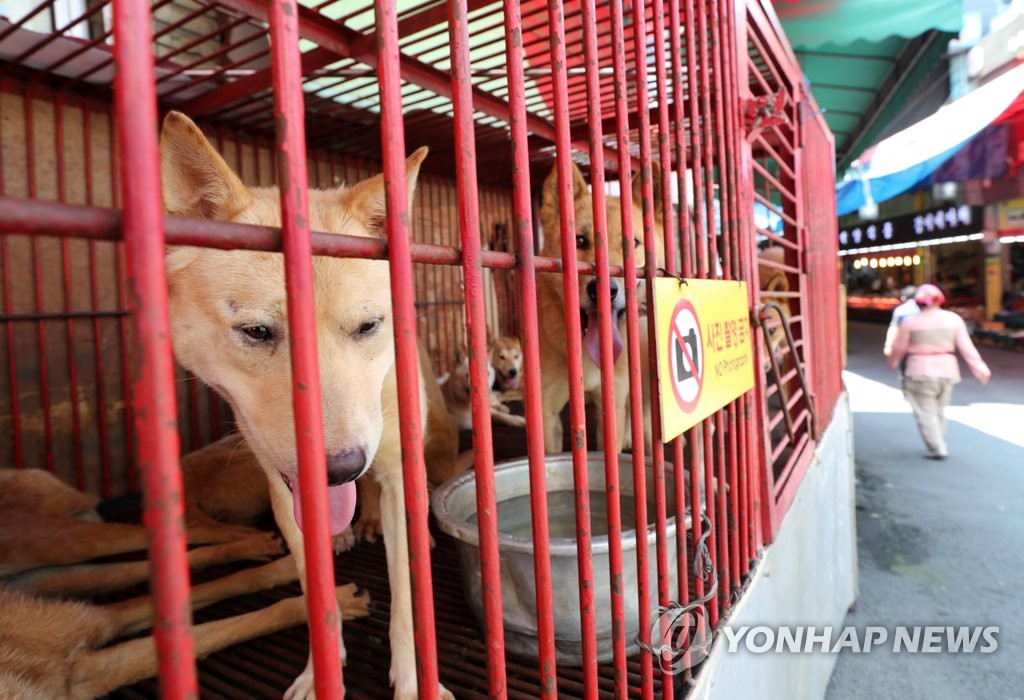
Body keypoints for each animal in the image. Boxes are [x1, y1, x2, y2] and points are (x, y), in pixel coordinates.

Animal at [160, 112, 456, 695]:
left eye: (368, 326)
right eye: (257, 332)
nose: (339, 469)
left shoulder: (392, 468)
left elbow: (405, 601)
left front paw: (414, 679)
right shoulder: (284, 485)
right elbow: (313, 588)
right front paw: (321, 672)